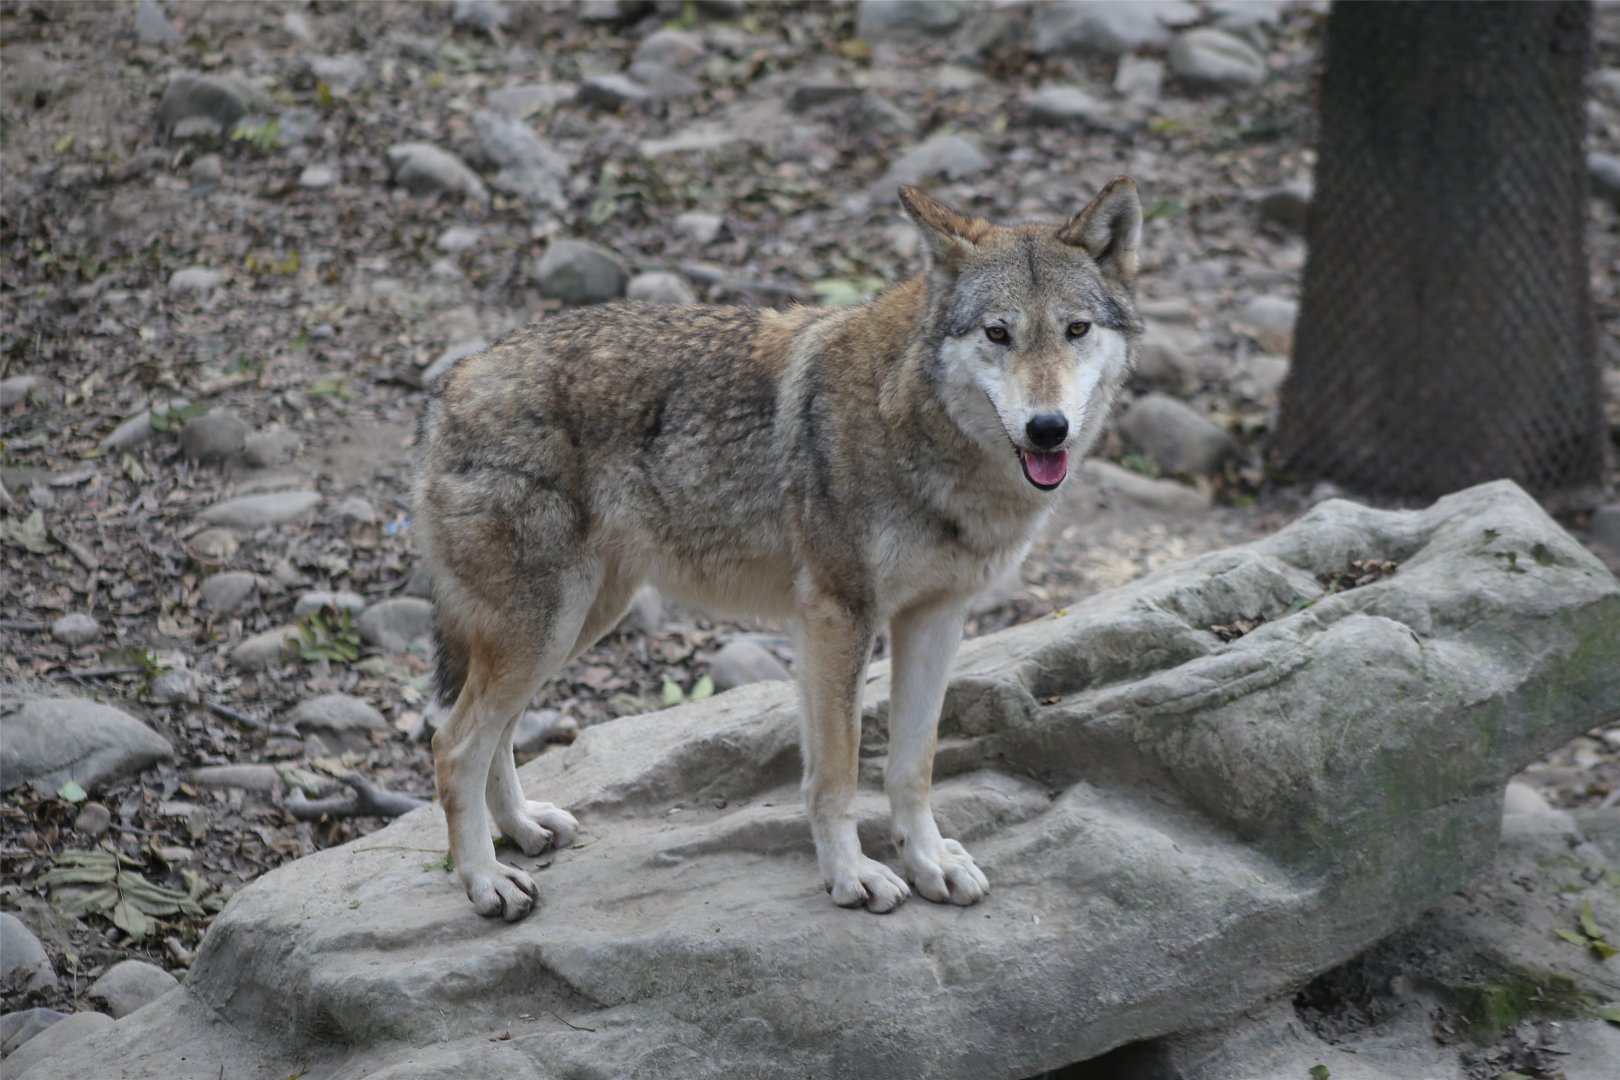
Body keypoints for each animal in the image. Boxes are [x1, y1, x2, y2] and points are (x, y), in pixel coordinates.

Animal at [413, 178, 1144, 920]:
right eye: (998, 333)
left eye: (1076, 330)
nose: (1048, 428)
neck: (914, 425)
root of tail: (458, 380)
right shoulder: (837, 617)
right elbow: (839, 773)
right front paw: (853, 876)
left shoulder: (936, 619)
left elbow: (913, 765)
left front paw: (929, 862)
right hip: (546, 628)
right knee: (455, 744)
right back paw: (486, 881)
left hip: (573, 625)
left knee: (498, 732)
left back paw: (522, 828)